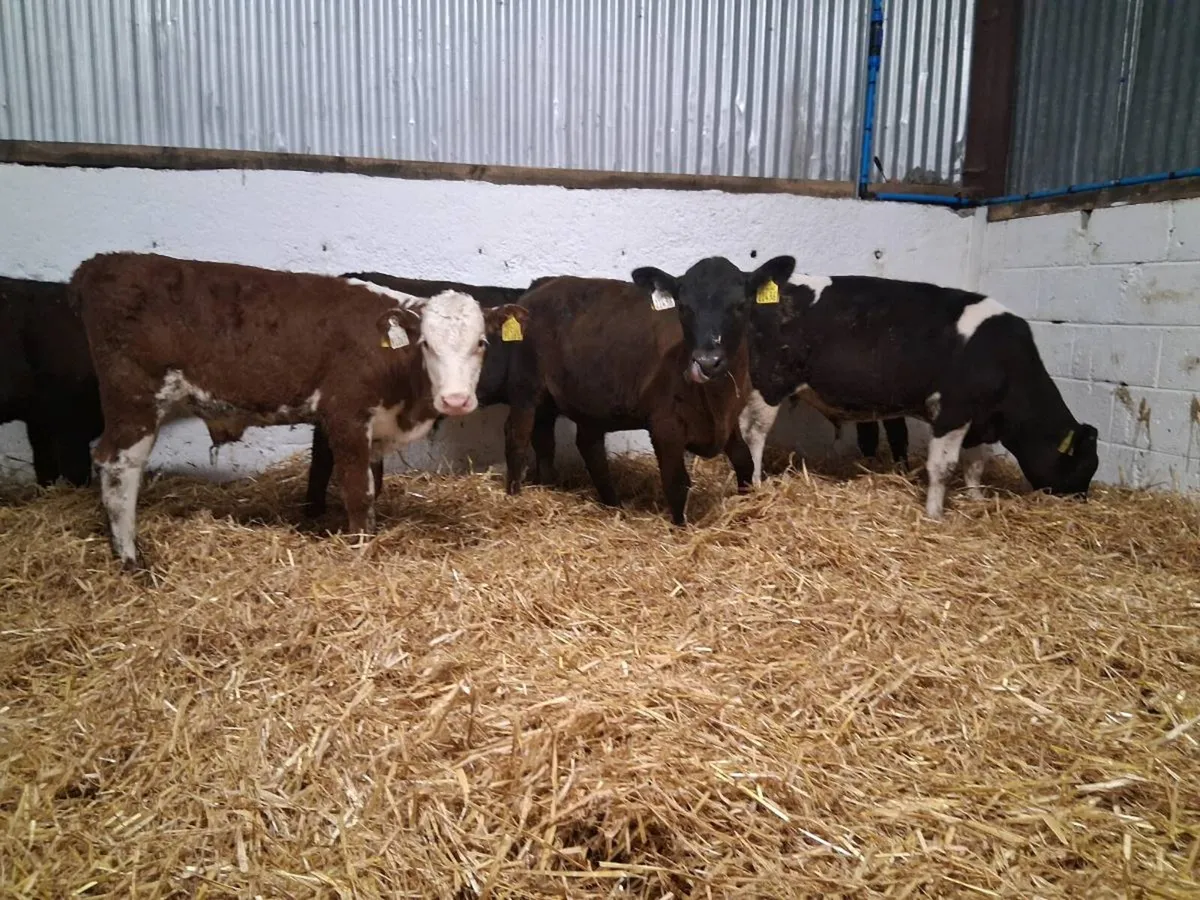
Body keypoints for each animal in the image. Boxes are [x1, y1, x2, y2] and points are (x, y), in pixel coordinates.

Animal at [69, 252, 527, 568]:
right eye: (427, 344)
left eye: (481, 343)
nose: (456, 400)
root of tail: (100, 264)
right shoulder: (345, 416)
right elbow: (358, 492)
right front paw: (361, 549)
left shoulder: (375, 427)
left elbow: (373, 487)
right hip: (134, 399)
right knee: (117, 466)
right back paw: (131, 559)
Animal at [302, 273, 555, 517]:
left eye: (481, 341)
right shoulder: (525, 393)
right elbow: (520, 440)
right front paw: (515, 494)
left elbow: (544, 442)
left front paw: (545, 484)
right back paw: (314, 509)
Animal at [634, 257, 1099, 519]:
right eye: (1086, 466)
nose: (1081, 502)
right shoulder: (952, 410)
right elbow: (943, 466)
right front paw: (935, 515)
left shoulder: (978, 419)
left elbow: (975, 465)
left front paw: (976, 499)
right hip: (769, 384)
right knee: (754, 435)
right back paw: (760, 484)